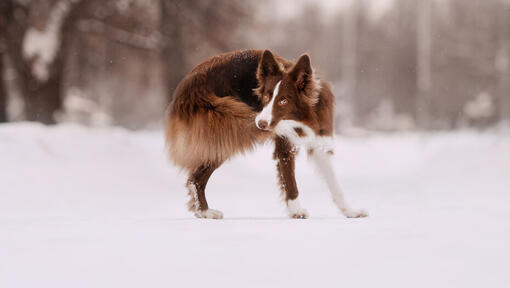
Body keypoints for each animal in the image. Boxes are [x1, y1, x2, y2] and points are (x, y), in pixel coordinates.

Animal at [165, 49, 368, 219]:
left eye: (283, 100)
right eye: (265, 97)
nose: (261, 124)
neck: (301, 118)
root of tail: (185, 86)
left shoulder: (320, 141)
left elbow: (334, 183)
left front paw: (349, 211)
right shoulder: (285, 146)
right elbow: (290, 181)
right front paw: (296, 211)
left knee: (195, 178)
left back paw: (202, 211)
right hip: (229, 127)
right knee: (196, 178)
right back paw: (205, 211)